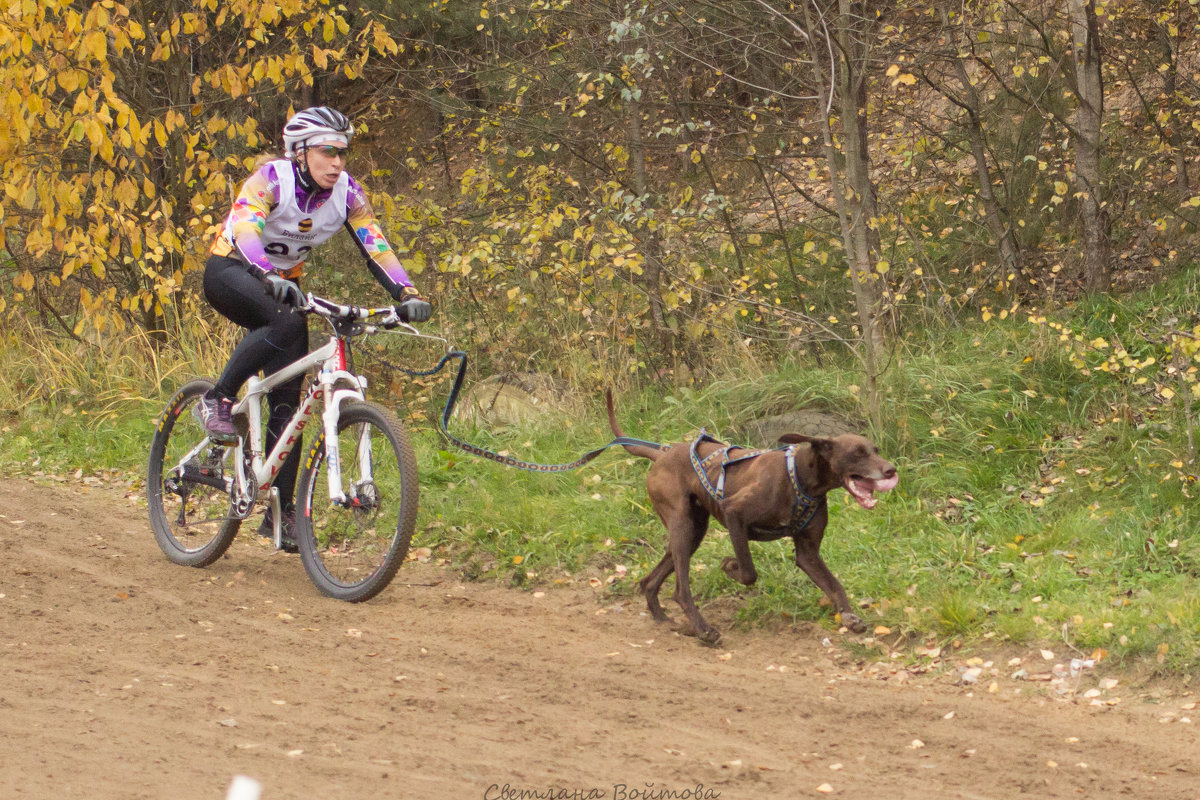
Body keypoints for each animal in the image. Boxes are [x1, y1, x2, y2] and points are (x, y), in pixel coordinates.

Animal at [609, 391, 902, 647]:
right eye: (857, 454)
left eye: (876, 449)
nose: (891, 470)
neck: (801, 479)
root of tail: (662, 453)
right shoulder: (734, 514)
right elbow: (749, 572)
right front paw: (730, 565)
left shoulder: (808, 553)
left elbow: (835, 585)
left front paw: (850, 616)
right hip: (682, 525)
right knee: (681, 590)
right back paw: (703, 629)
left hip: (694, 530)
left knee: (650, 581)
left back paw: (663, 618)